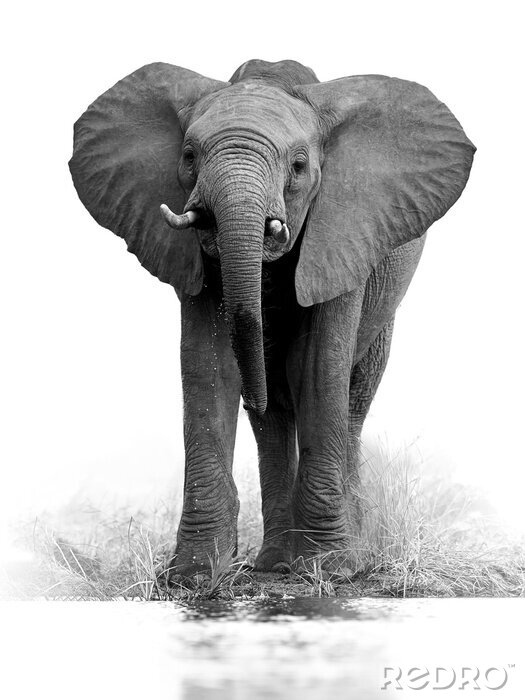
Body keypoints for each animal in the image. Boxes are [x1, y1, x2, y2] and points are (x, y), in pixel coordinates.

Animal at [69, 59, 475, 576]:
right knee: (276, 412)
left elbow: (317, 368)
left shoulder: (341, 237)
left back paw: (348, 553)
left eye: (299, 167)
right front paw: (195, 574)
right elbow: (209, 367)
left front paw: (328, 567)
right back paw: (275, 563)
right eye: (188, 156)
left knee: (350, 398)